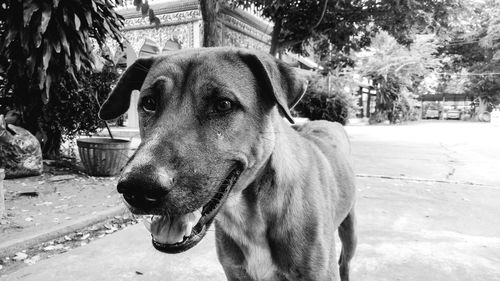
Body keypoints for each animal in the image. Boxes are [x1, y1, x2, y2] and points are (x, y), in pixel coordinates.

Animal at [98, 48, 356, 280]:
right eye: (149, 102)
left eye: (223, 104)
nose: (138, 188)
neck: (248, 214)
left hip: (350, 231)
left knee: (345, 261)